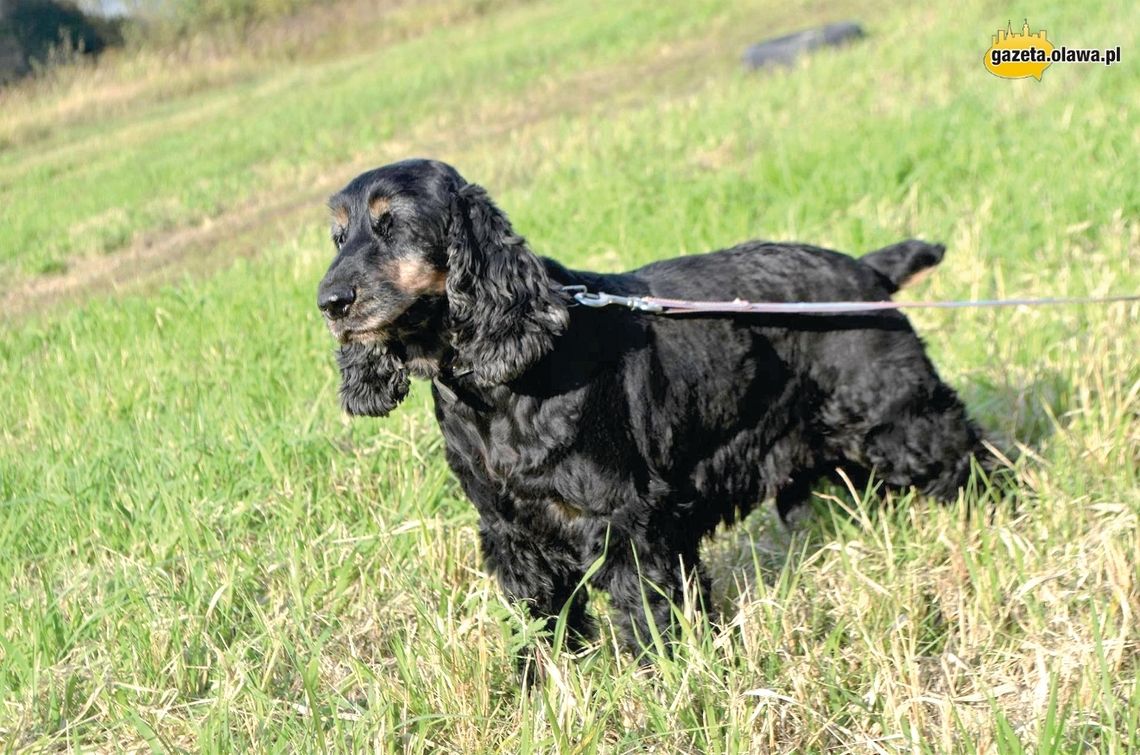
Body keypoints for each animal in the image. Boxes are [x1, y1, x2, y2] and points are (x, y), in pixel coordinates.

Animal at [316, 158, 994, 670]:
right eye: (339, 236)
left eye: (394, 225)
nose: (330, 301)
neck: (498, 386)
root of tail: (865, 269)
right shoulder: (512, 533)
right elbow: (540, 622)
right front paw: (538, 688)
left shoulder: (626, 518)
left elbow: (648, 612)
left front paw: (667, 684)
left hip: (898, 414)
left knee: (965, 453)